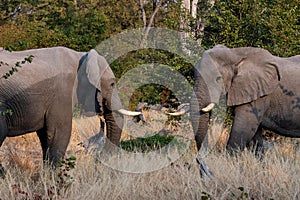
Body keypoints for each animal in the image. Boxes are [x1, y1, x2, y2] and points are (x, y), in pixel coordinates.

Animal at [0, 46, 141, 166]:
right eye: (112, 84)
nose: (98, 161)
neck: (80, 56)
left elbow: (45, 135)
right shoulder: (62, 92)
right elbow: (60, 132)